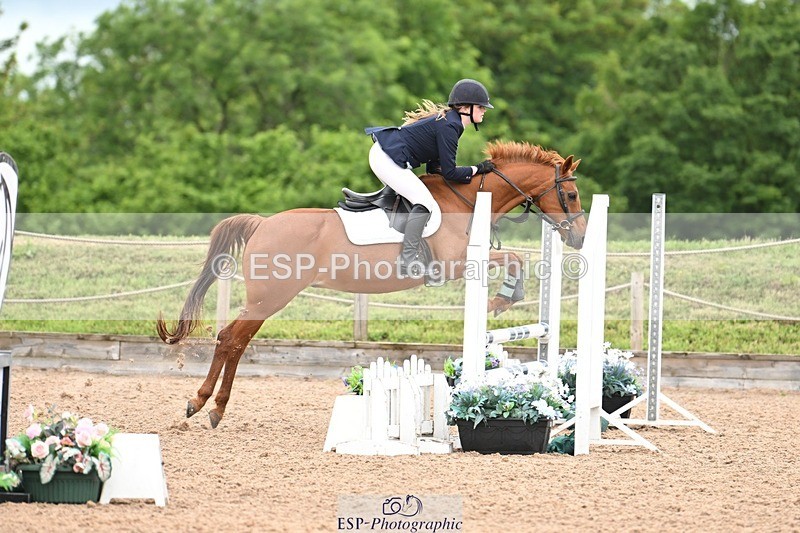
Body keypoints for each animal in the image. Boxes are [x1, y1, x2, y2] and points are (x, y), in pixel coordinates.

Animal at [156, 140, 587, 428]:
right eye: (570, 194)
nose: (579, 238)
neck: (468, 201)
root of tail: (262, 224)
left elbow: (517, 257)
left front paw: (505, 299)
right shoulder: (455, 264)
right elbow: (514, 258)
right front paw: (501, 301)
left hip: (267, 300)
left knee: (233, 340)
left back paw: (207, 406)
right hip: (270, 299)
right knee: (232, 339)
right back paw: (206, 405)